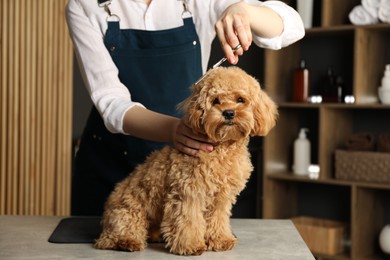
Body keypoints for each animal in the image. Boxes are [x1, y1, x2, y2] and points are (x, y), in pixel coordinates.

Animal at [94, 66, 278, 255]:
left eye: (240, 99)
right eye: (216, 100)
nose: (228, 113)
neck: (222, 148)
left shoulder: (221, 198)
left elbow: (217, 218)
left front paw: (220, 240)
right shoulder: (189, 192)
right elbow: (188, 220)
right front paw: (190, 245)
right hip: (129, 213)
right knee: (114, 236)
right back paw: (128, 242)